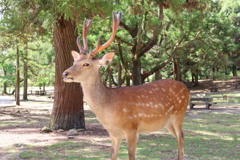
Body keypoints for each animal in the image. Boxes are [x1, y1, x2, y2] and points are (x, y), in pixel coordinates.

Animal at [62, 11, 190, 160]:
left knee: (181, 136)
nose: (65, 73)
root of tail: (186, 88)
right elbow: (113, 156)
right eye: (74, 61)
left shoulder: (132, 128)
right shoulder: (113, 133)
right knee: (179, 136)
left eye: (86, 64)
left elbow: (131, 156)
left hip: (179, 114)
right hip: (167, 122)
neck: (109, 110)